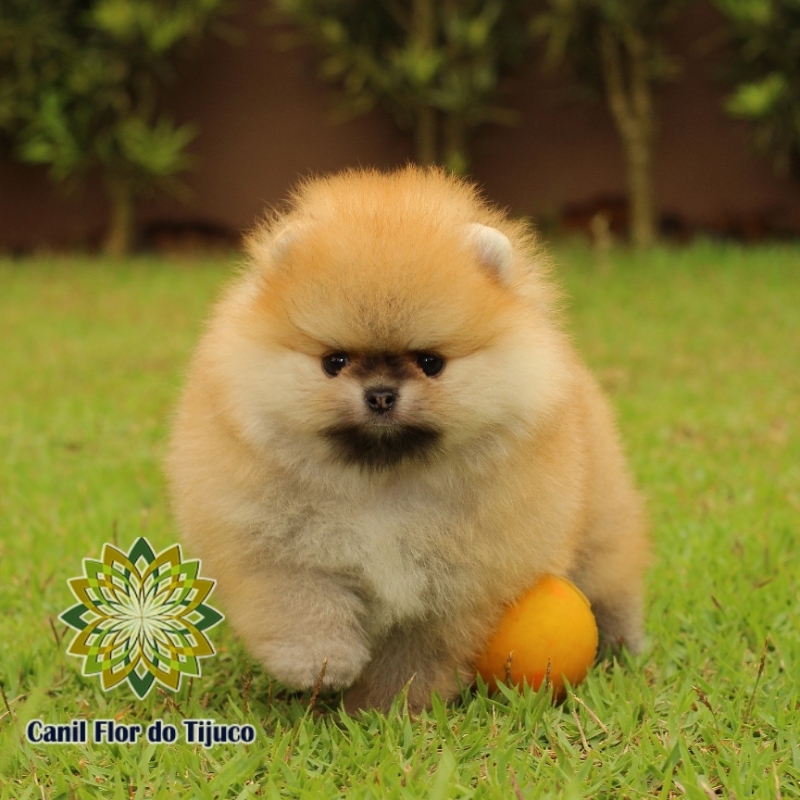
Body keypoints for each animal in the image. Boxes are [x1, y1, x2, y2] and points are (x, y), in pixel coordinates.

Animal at [166, 167, 648, 712]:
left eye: (430, 362)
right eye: (334, 361)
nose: (380, 394)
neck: (383, 483)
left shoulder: (455, 584)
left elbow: (414, 650)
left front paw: (386, 707)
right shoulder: (275, 544)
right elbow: (300, 603)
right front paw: (320, 663)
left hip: (601, 518)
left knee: (611, 576)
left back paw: (621, 643)